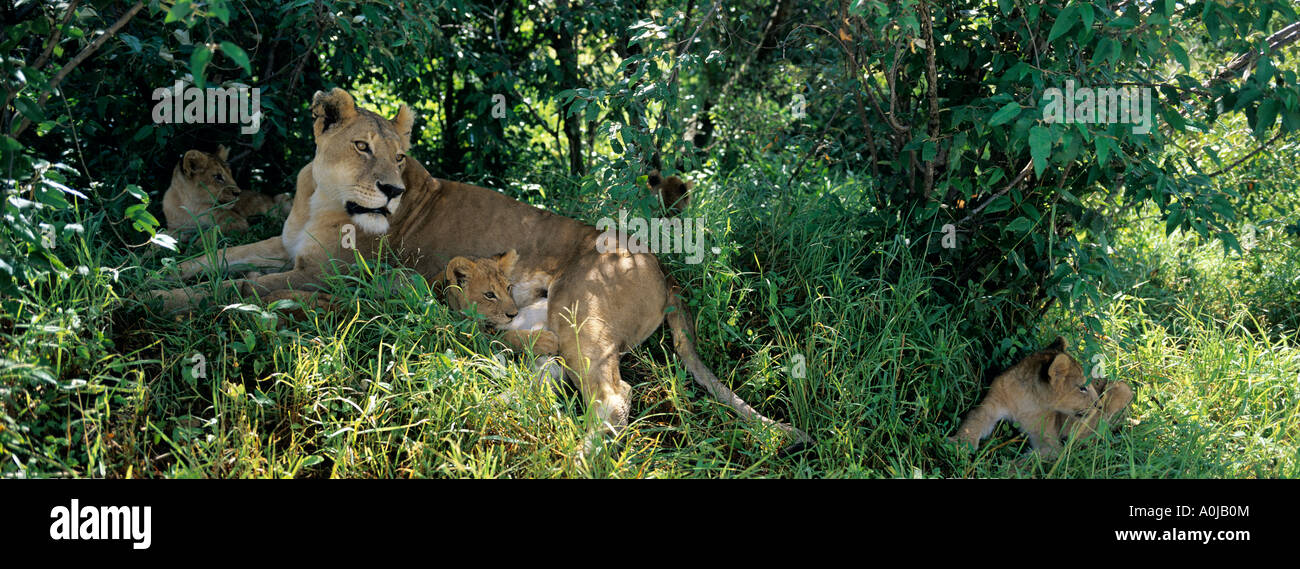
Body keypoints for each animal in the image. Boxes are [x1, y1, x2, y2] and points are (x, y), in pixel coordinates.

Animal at [162, 145, 291, 238]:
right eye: (218, 177)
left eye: (230, 173)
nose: (238, 193)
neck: (190, 205)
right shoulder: (176, 229)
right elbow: (162, 239)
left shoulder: (234, 222)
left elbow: (209, 235)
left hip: (283, 197)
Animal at [950, 337, 1133, 458]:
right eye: (1082, 388)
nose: (1099, 405)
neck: (1028, 400)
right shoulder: (990, 406)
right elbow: (973, 421)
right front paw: (958, 444)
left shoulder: (1050, 443)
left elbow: (1030, 460)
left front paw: (1004, 471)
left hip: (1123, 388)